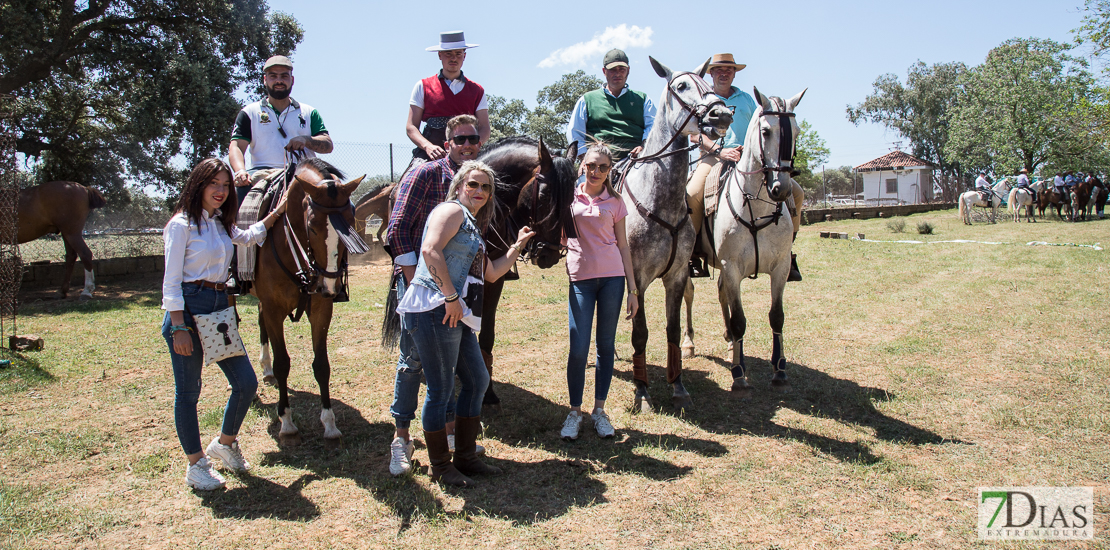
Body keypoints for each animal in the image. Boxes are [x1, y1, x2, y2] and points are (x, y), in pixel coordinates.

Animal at [630, 58, 732, 411]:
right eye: (681, 86)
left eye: (709, 85)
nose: (721, 114)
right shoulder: (638, 278)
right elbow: (640, 333)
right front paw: (642, 392)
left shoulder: (675, 275)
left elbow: (672, 330)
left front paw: (678, 385)